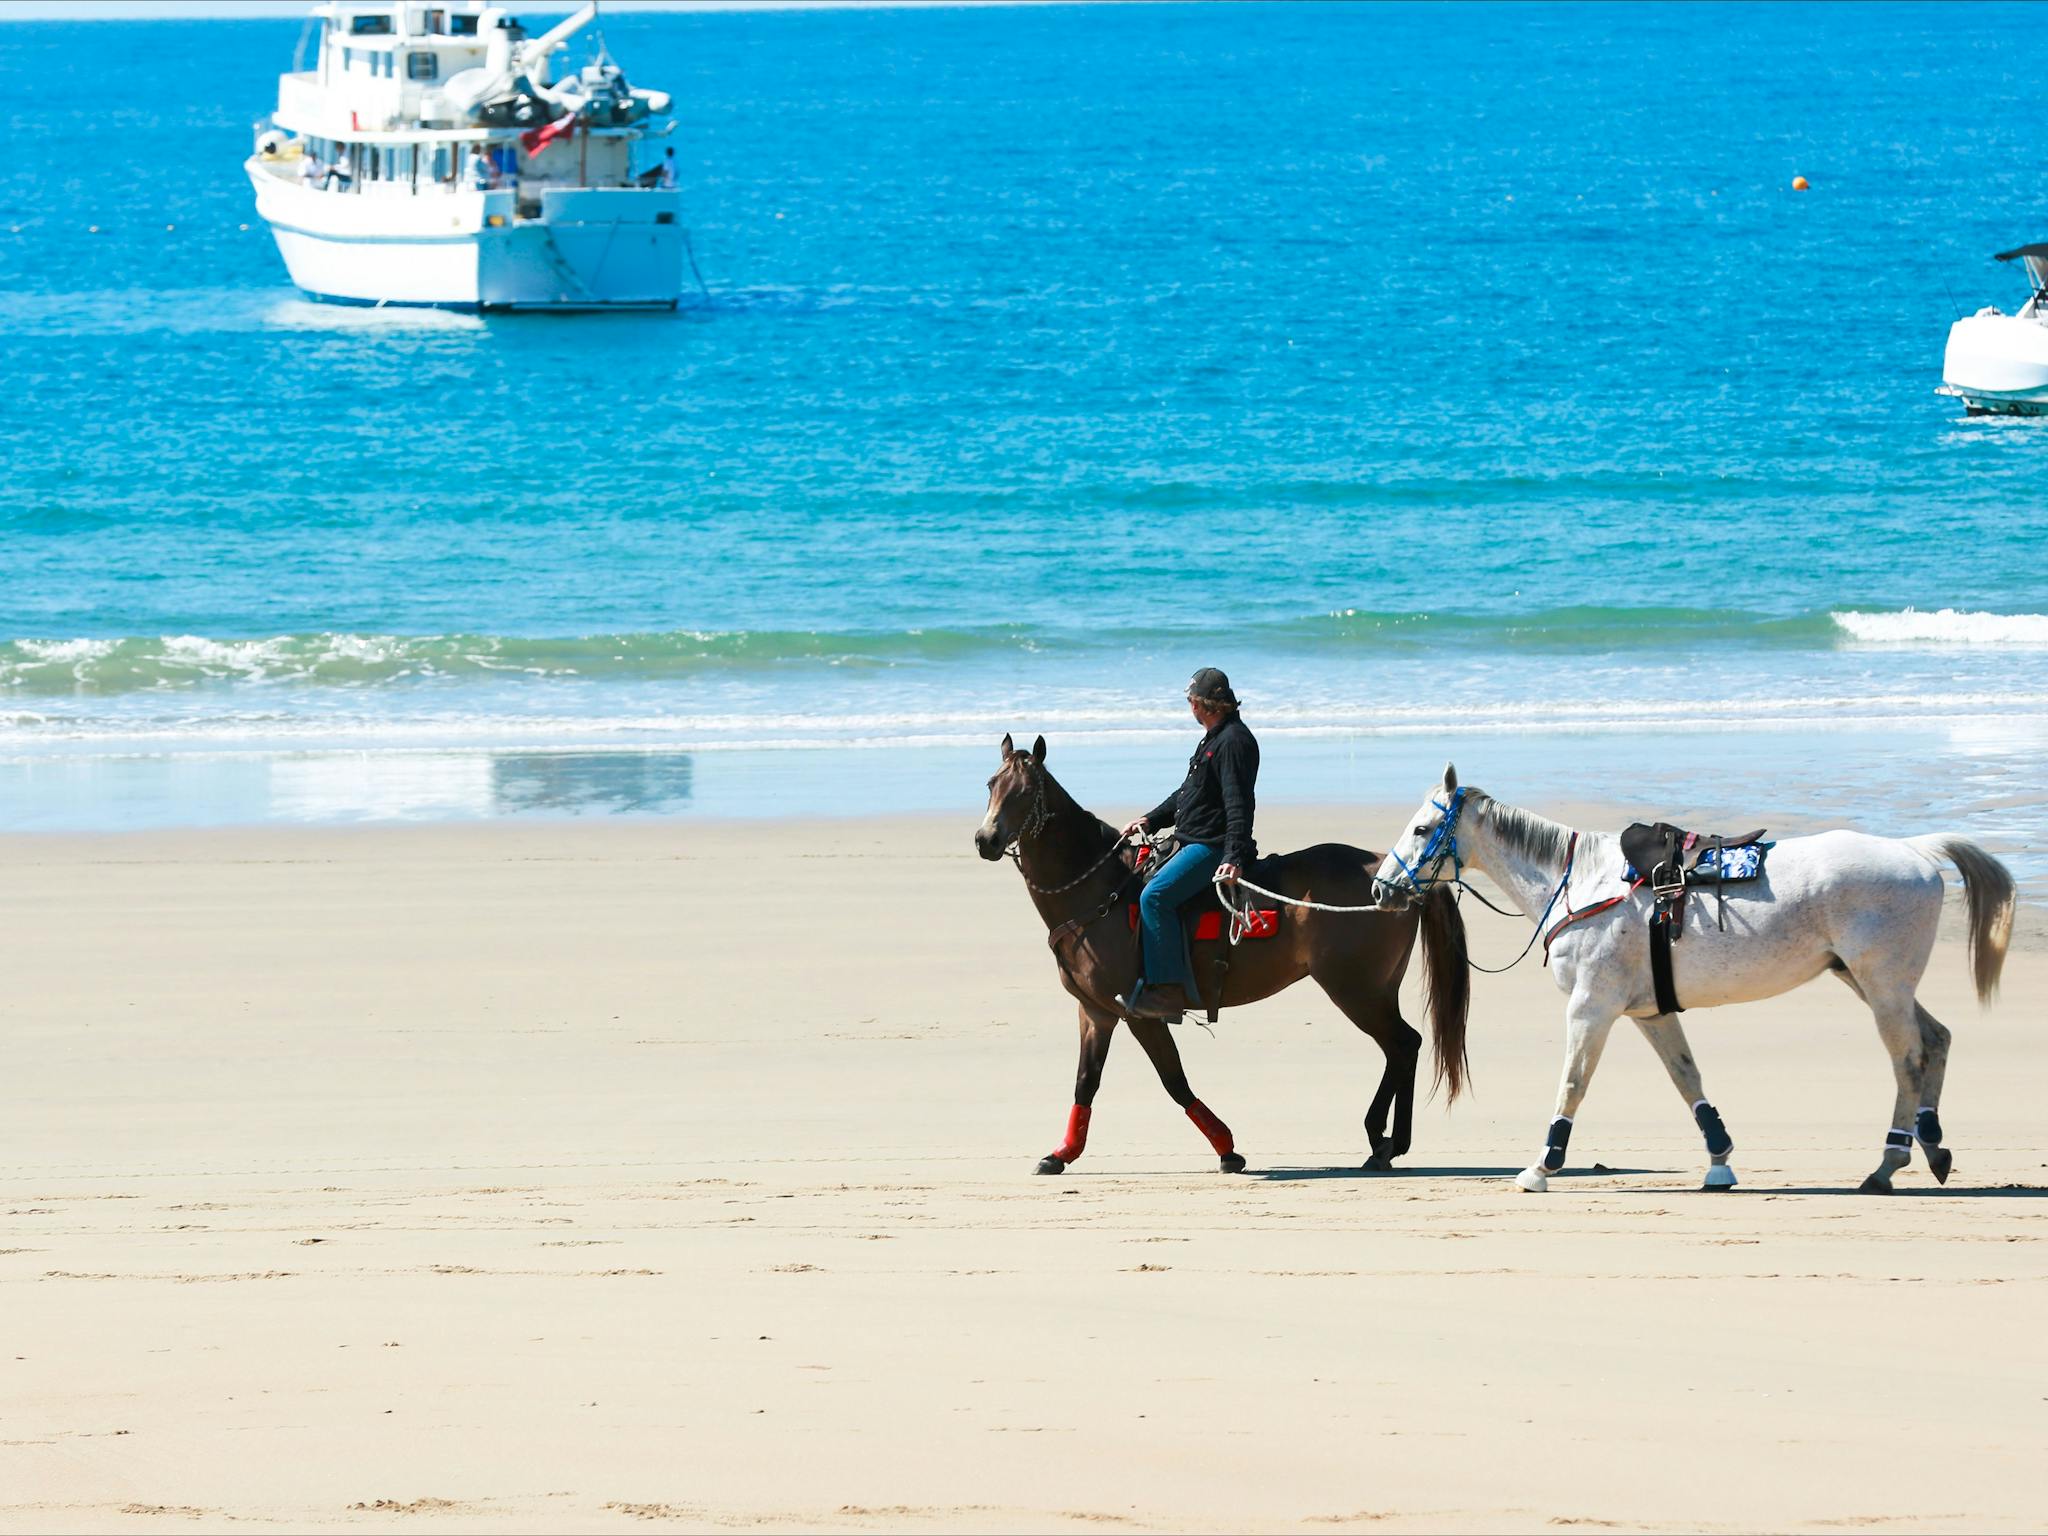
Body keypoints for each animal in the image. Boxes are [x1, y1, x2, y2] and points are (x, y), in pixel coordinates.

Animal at [973, 734, 1470, 1175]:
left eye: (1025, 792)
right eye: (991, 784)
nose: (985, 839)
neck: (1100, 891)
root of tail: (1394, 879)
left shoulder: (1138, 1013)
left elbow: (1174, 1080)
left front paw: (1227, 1147)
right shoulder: (1095, 1012)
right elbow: (1086, 1082)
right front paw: (1062, 1153)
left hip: (1357, 990)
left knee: (1403, 1045)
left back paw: (1386, 1141)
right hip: (1372, 991)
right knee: (1400, 1050)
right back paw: (1382, 1141)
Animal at [1371, 763, 2016, 1194]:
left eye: (1424, 829)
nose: (1382, 888)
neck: (1581, 884)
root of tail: (1915, 851)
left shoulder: (1591, 1007)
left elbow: (1573, 1085)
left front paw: (1542, 1165)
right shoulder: (1650, 1012)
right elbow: (1688, 1080)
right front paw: (1720, 1159)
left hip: (1882, 986)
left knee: (1909, 1059)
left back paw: (1889, 1163)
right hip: (1868, 981)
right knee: (1935, 1039)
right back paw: (1931, 1145)